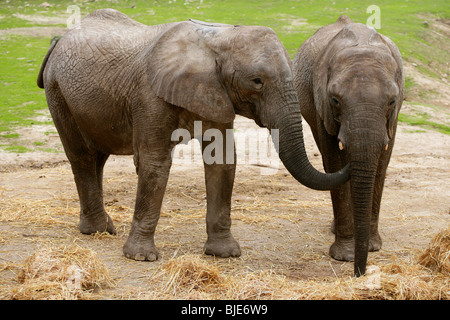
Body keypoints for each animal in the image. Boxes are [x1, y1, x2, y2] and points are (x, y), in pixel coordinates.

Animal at [37, 9, 350, 262]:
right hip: (57, 92)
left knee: (97, 157)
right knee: (83, 157)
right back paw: (97, 230)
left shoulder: (217, 93)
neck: (218, 36)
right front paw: (141, 257)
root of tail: (57, 41)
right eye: (257, 81)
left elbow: (221, 161)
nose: (341, 139)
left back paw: (103, 228)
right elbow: (154, 164)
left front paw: (224, 254)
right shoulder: (148, 95)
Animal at [292, 14, 404, 276]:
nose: (359, 273)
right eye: (335, 100)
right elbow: (334, 160)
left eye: (392, 101)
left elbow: (381, 165)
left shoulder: (392, 119)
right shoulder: (321, 103)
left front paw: (372, 247)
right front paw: (344, 255)